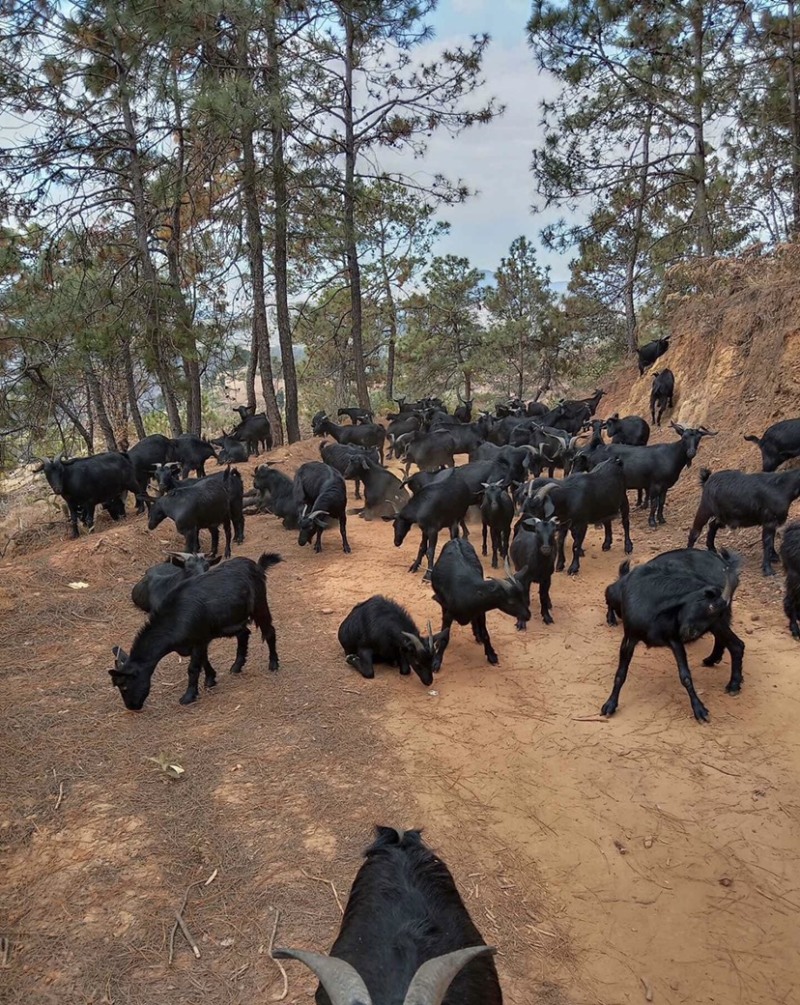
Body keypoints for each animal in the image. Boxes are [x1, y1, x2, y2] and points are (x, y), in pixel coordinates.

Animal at [109, 554, 283, 711]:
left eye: (124, 686)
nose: (131, 707)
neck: (176, 617)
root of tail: (255, 565)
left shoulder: (198, 641)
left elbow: (193, 668)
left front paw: (189, 695)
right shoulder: (200, 640)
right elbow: (203, 661)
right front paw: (210, 679)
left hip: (259, 605)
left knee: (269, 631)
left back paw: (273, 664)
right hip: (233, 619)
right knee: (244, 634)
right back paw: (237, 666)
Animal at [432, 538, 530, 671]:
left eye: (523, 596)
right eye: (511, 601)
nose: (528, 615)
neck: (469, 592)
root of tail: (456, 539)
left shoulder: (481, 612)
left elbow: (485, 634)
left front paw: (491, 654)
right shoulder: (449, 614)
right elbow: (444, 638)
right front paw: (436, 662)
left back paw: (477, 635)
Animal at [598, 550, 743, 723]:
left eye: (716, 612)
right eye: (709, 606)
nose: (689, 633)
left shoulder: (675, 640)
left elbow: (685, 676)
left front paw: (699, 709)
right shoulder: (630, 637)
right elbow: (620, 674)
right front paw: (610, 704)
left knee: (736, 645)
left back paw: (732, 682)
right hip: (614, 593)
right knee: (608, 595)